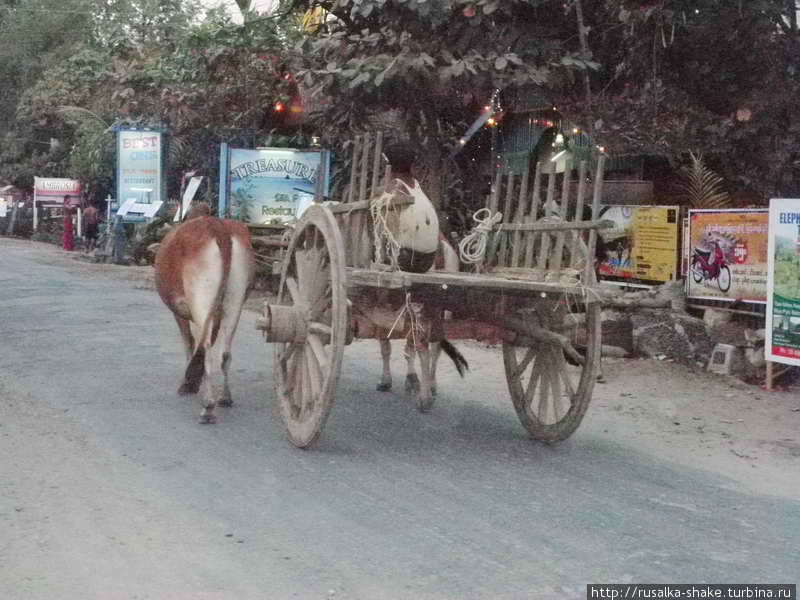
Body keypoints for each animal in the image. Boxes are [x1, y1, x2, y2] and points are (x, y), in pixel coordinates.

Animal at [155, 204, 255, 424]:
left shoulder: (179, 311)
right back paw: (225, 398)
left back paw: (208, 408)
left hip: (200, 297)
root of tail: (218, 227)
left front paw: (188, 383)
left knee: (207, 348)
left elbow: (189, 342)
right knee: (225, 352)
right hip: (235, 299)